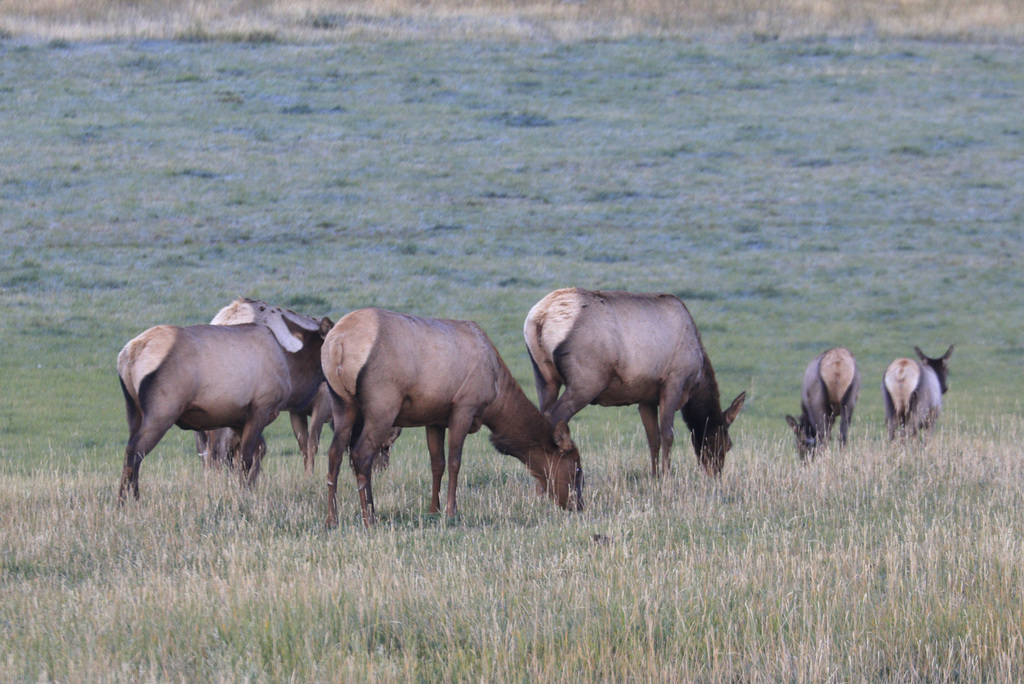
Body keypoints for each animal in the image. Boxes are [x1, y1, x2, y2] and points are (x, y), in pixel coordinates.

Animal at [118, 315, 331, 501]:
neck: (292, 372)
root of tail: (129, 354)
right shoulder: (261, 406)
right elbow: (245, 458)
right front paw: (243, 493)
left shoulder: (238, 419)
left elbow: (253, 453)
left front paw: (249, 488)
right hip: (162, 411)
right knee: (135, 450)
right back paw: (125, 501)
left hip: (133, 410)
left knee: (132, 451)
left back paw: (132, 498)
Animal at [319, 307, 585, 528]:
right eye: (577, 468)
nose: (578, 506)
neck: (497, 396)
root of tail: (337, 344)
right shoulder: (464, 406)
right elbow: (455, 461)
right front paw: (451, 511)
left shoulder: (434, 418)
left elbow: (437, 464)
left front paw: (433, 509)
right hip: (382, 405)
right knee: (361, 454)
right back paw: (370, 517)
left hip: (342, 404)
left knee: (334, 453)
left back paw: (332, 519)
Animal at [528, 286, 745, 475]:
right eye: (727, 444)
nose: (715, 475)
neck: (697, 379)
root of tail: (540, 318)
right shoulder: (674, 380)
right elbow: (667, 434)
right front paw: (667, 479)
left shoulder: (646, 397)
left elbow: (653, 438)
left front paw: (655, 477)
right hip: (585, 382)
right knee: (554, 418)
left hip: (545, 378)